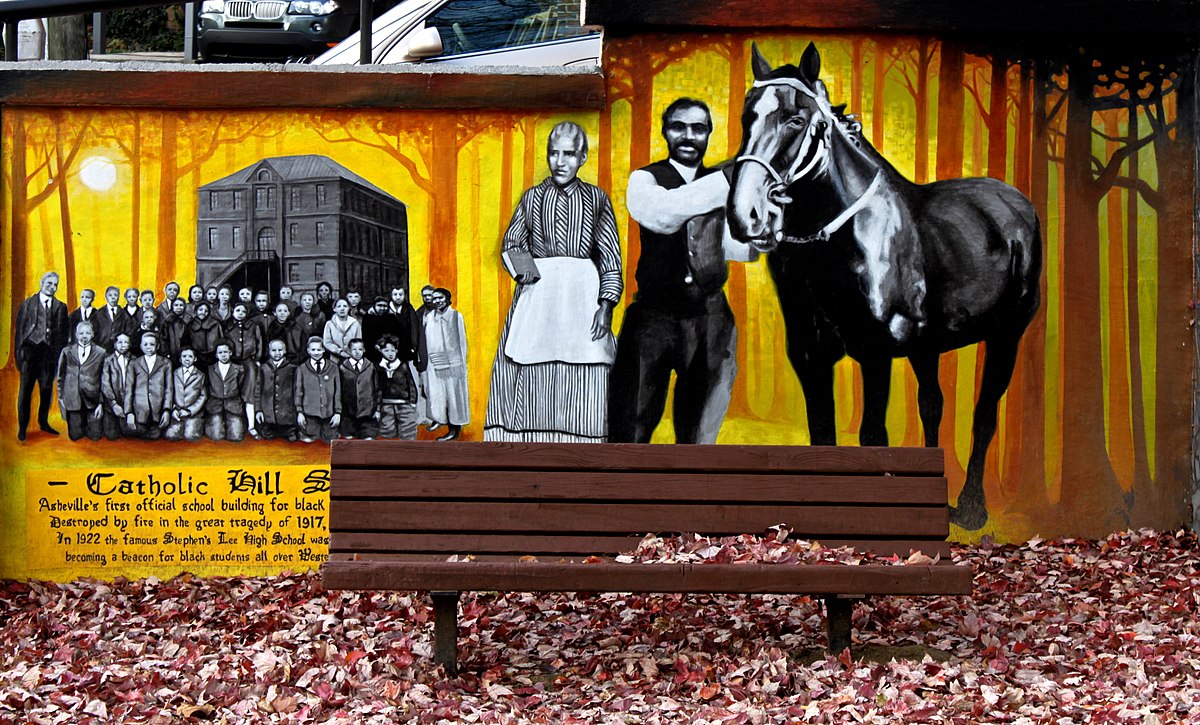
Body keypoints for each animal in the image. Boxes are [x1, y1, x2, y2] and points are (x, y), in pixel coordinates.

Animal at [724, 43, 1046, 532]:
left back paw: (971, 507)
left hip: (1006, 335)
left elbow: (874, 435)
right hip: (927, 347)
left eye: (796, 120)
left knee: (985, 414)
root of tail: (1016, 202)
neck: (838, 242)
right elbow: (823, 432)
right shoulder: (811, 359)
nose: (747, 214)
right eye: (747, 116)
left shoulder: (874, 355)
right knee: (933, 405)